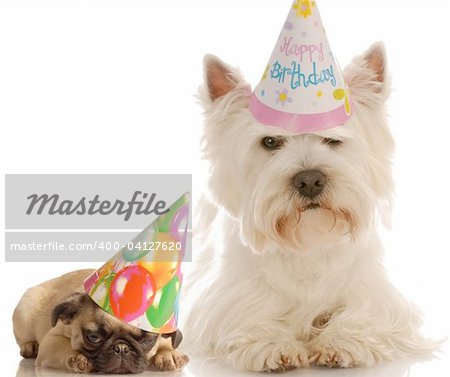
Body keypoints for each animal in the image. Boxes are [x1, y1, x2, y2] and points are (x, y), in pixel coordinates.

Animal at [12, 268, 188, 372]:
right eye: (93, 337)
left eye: (147, 340)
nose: (121, 347)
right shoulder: (51, 341)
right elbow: (64, 346)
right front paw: (78, 357)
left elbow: (167, 343)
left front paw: (168, 354)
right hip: (25, 310)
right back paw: (30, 346)